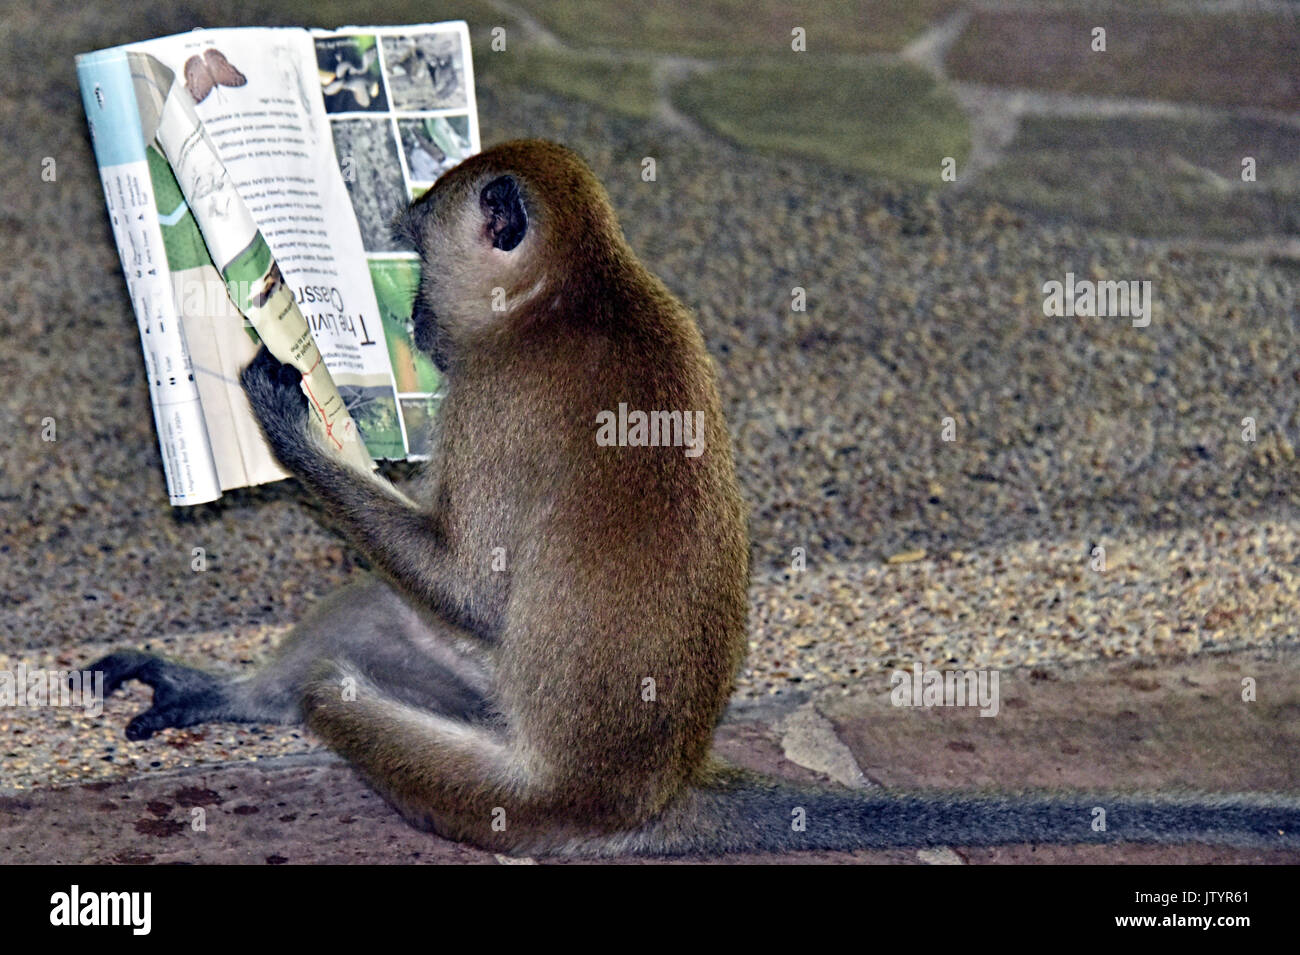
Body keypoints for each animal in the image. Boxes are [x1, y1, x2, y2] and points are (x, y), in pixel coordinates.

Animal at [86, 136, 1294, 857]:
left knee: (341, 694)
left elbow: (473, 587)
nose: (418, 319)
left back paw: (298, 701)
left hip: (515, 798)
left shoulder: (499, 397)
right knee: (378, 623)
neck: (576, 287)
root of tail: (657, 790)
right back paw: (234, 695)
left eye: (421, 262)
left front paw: (286, 417)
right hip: (480, 705)